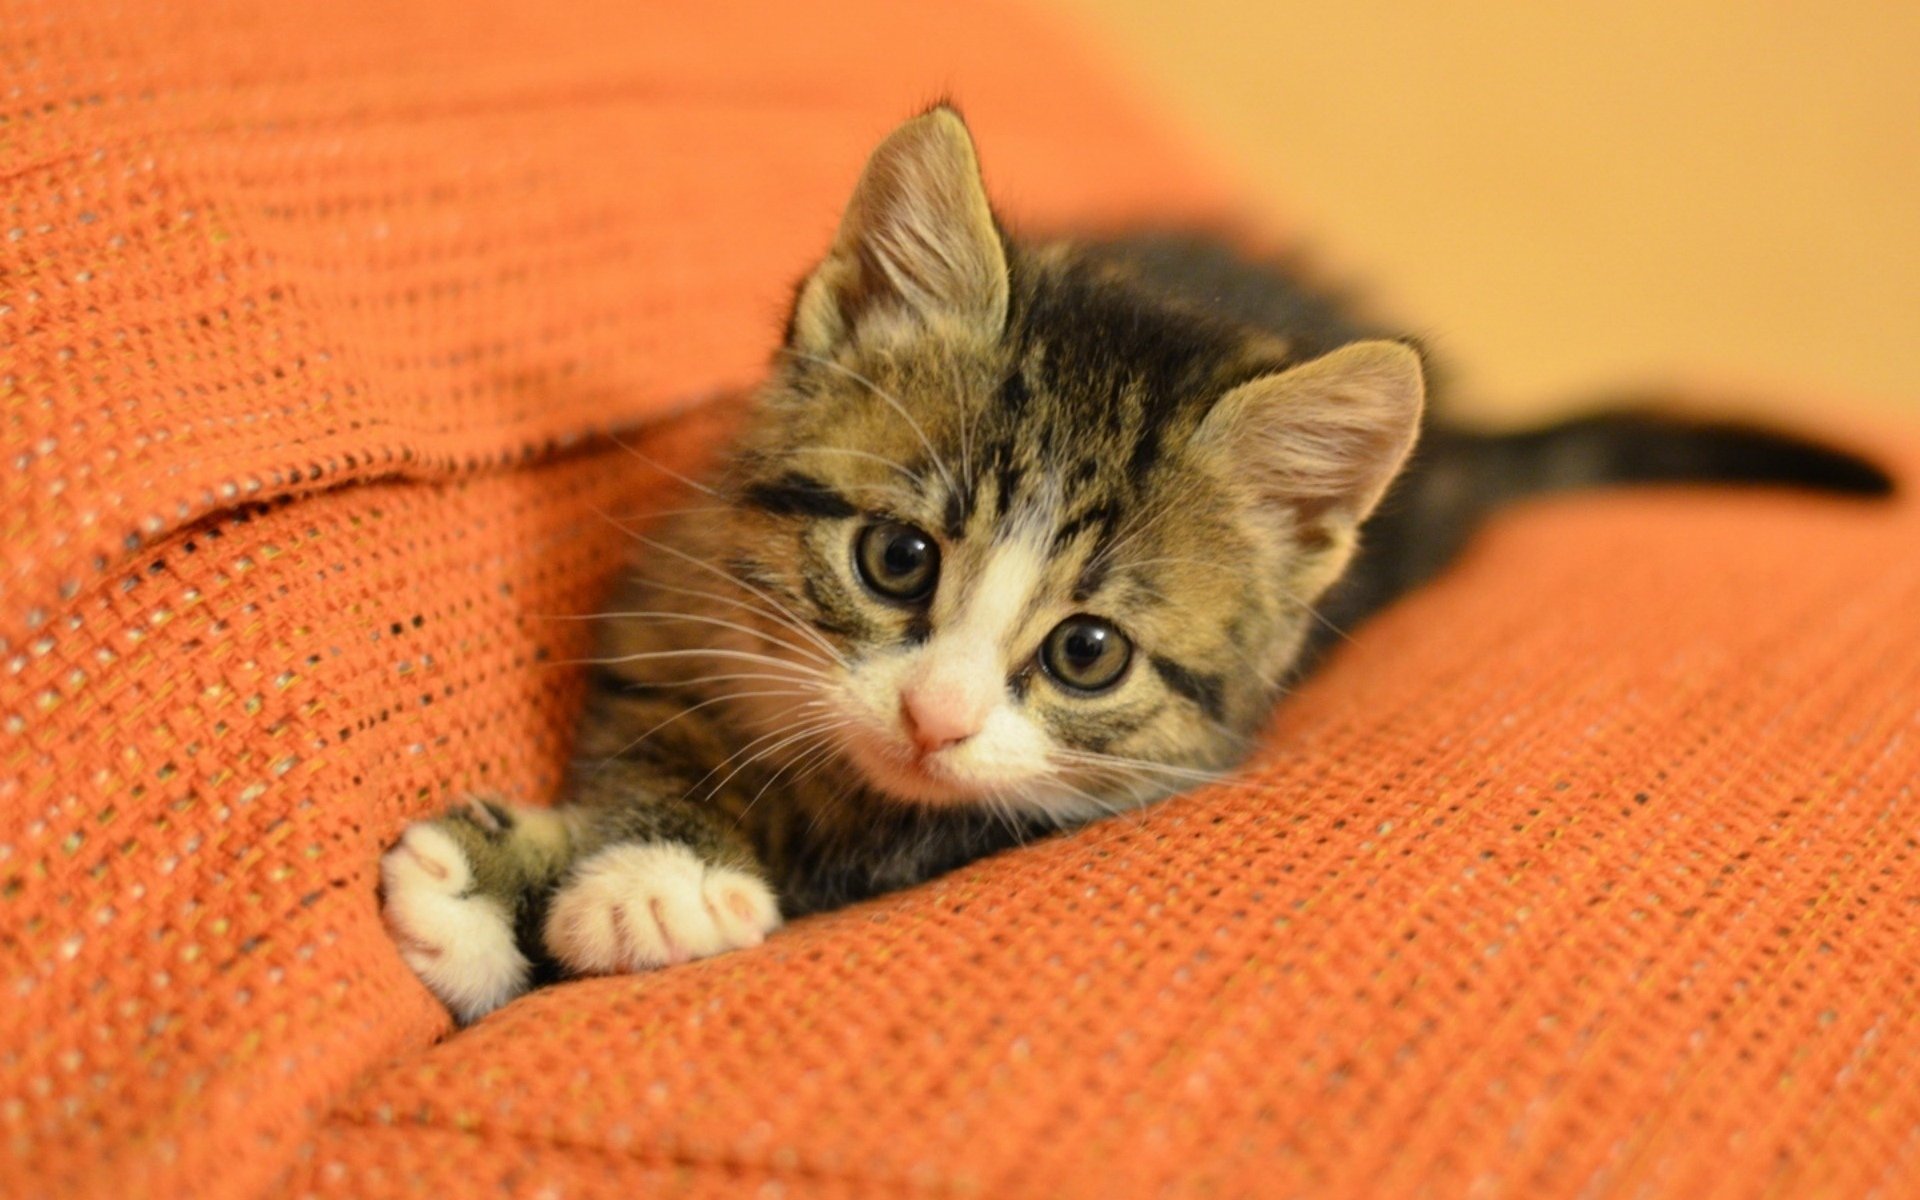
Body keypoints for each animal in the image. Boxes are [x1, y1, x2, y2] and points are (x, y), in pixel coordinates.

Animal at [378, 105, 1889, 1021]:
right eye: (896, 558)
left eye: (1086, 652)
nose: (934, 719)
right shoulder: (672, 608)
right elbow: (654, 744)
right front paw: (519, 885)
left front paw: (647, 887)